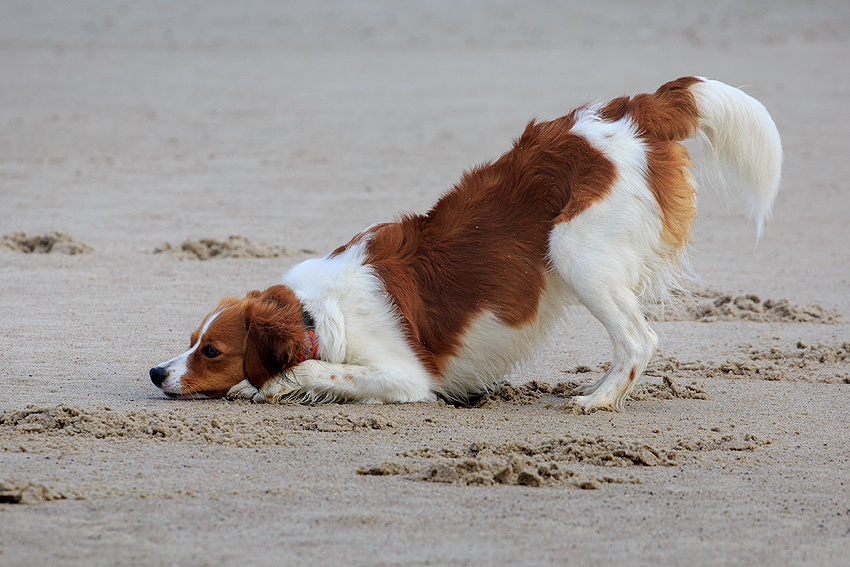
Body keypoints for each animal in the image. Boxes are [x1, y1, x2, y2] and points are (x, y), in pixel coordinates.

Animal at [149, 76, 780, 412]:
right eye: (191, 340)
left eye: (212, 352)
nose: (156, 373)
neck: (312, 311)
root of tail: (636, 107)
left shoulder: (405, 376)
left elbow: (309, 374)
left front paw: (276, 386)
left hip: (574, 253)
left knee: (640, 339)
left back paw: (597, 400)